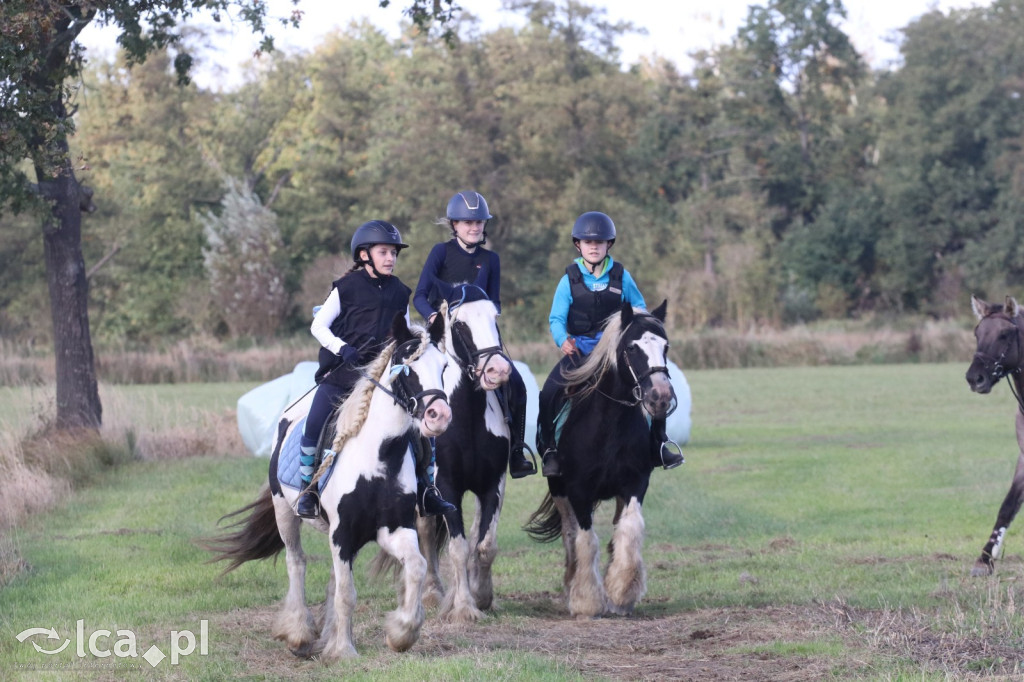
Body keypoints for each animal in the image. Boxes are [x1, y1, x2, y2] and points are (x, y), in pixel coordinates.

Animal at [201, 313, 450, 659]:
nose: (439, 416)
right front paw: (343, 651)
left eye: (444, 366)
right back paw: (299, 632)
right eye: (407, 366)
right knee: (296, 563)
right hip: (285, 513)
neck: (378, 456)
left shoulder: (393, 528)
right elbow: (346, 593)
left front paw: (401, 633)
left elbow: (415, 566)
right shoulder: (342, 533)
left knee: (334, 576)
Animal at [411, 278, 516, 622]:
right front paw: (464, 607)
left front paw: (482, 595)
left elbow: (485, 544)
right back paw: (431, 592)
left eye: (495, 318)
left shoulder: (493, 484)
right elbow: (457, 547)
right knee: (426, 531)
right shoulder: (445, 487)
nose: (497, 371)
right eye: (460, 324)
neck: (467, 415)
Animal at [528, 301, 671, 614]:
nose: (660, 396)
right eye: (632, 348)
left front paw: (622, 591)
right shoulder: (578, 490)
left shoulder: (635, 484)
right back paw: (570, 584)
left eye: (665, 346)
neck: (609, 423)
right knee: (570, 536)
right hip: (558, 490)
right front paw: (586, 600)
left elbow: (628, 530)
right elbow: (585, 540)